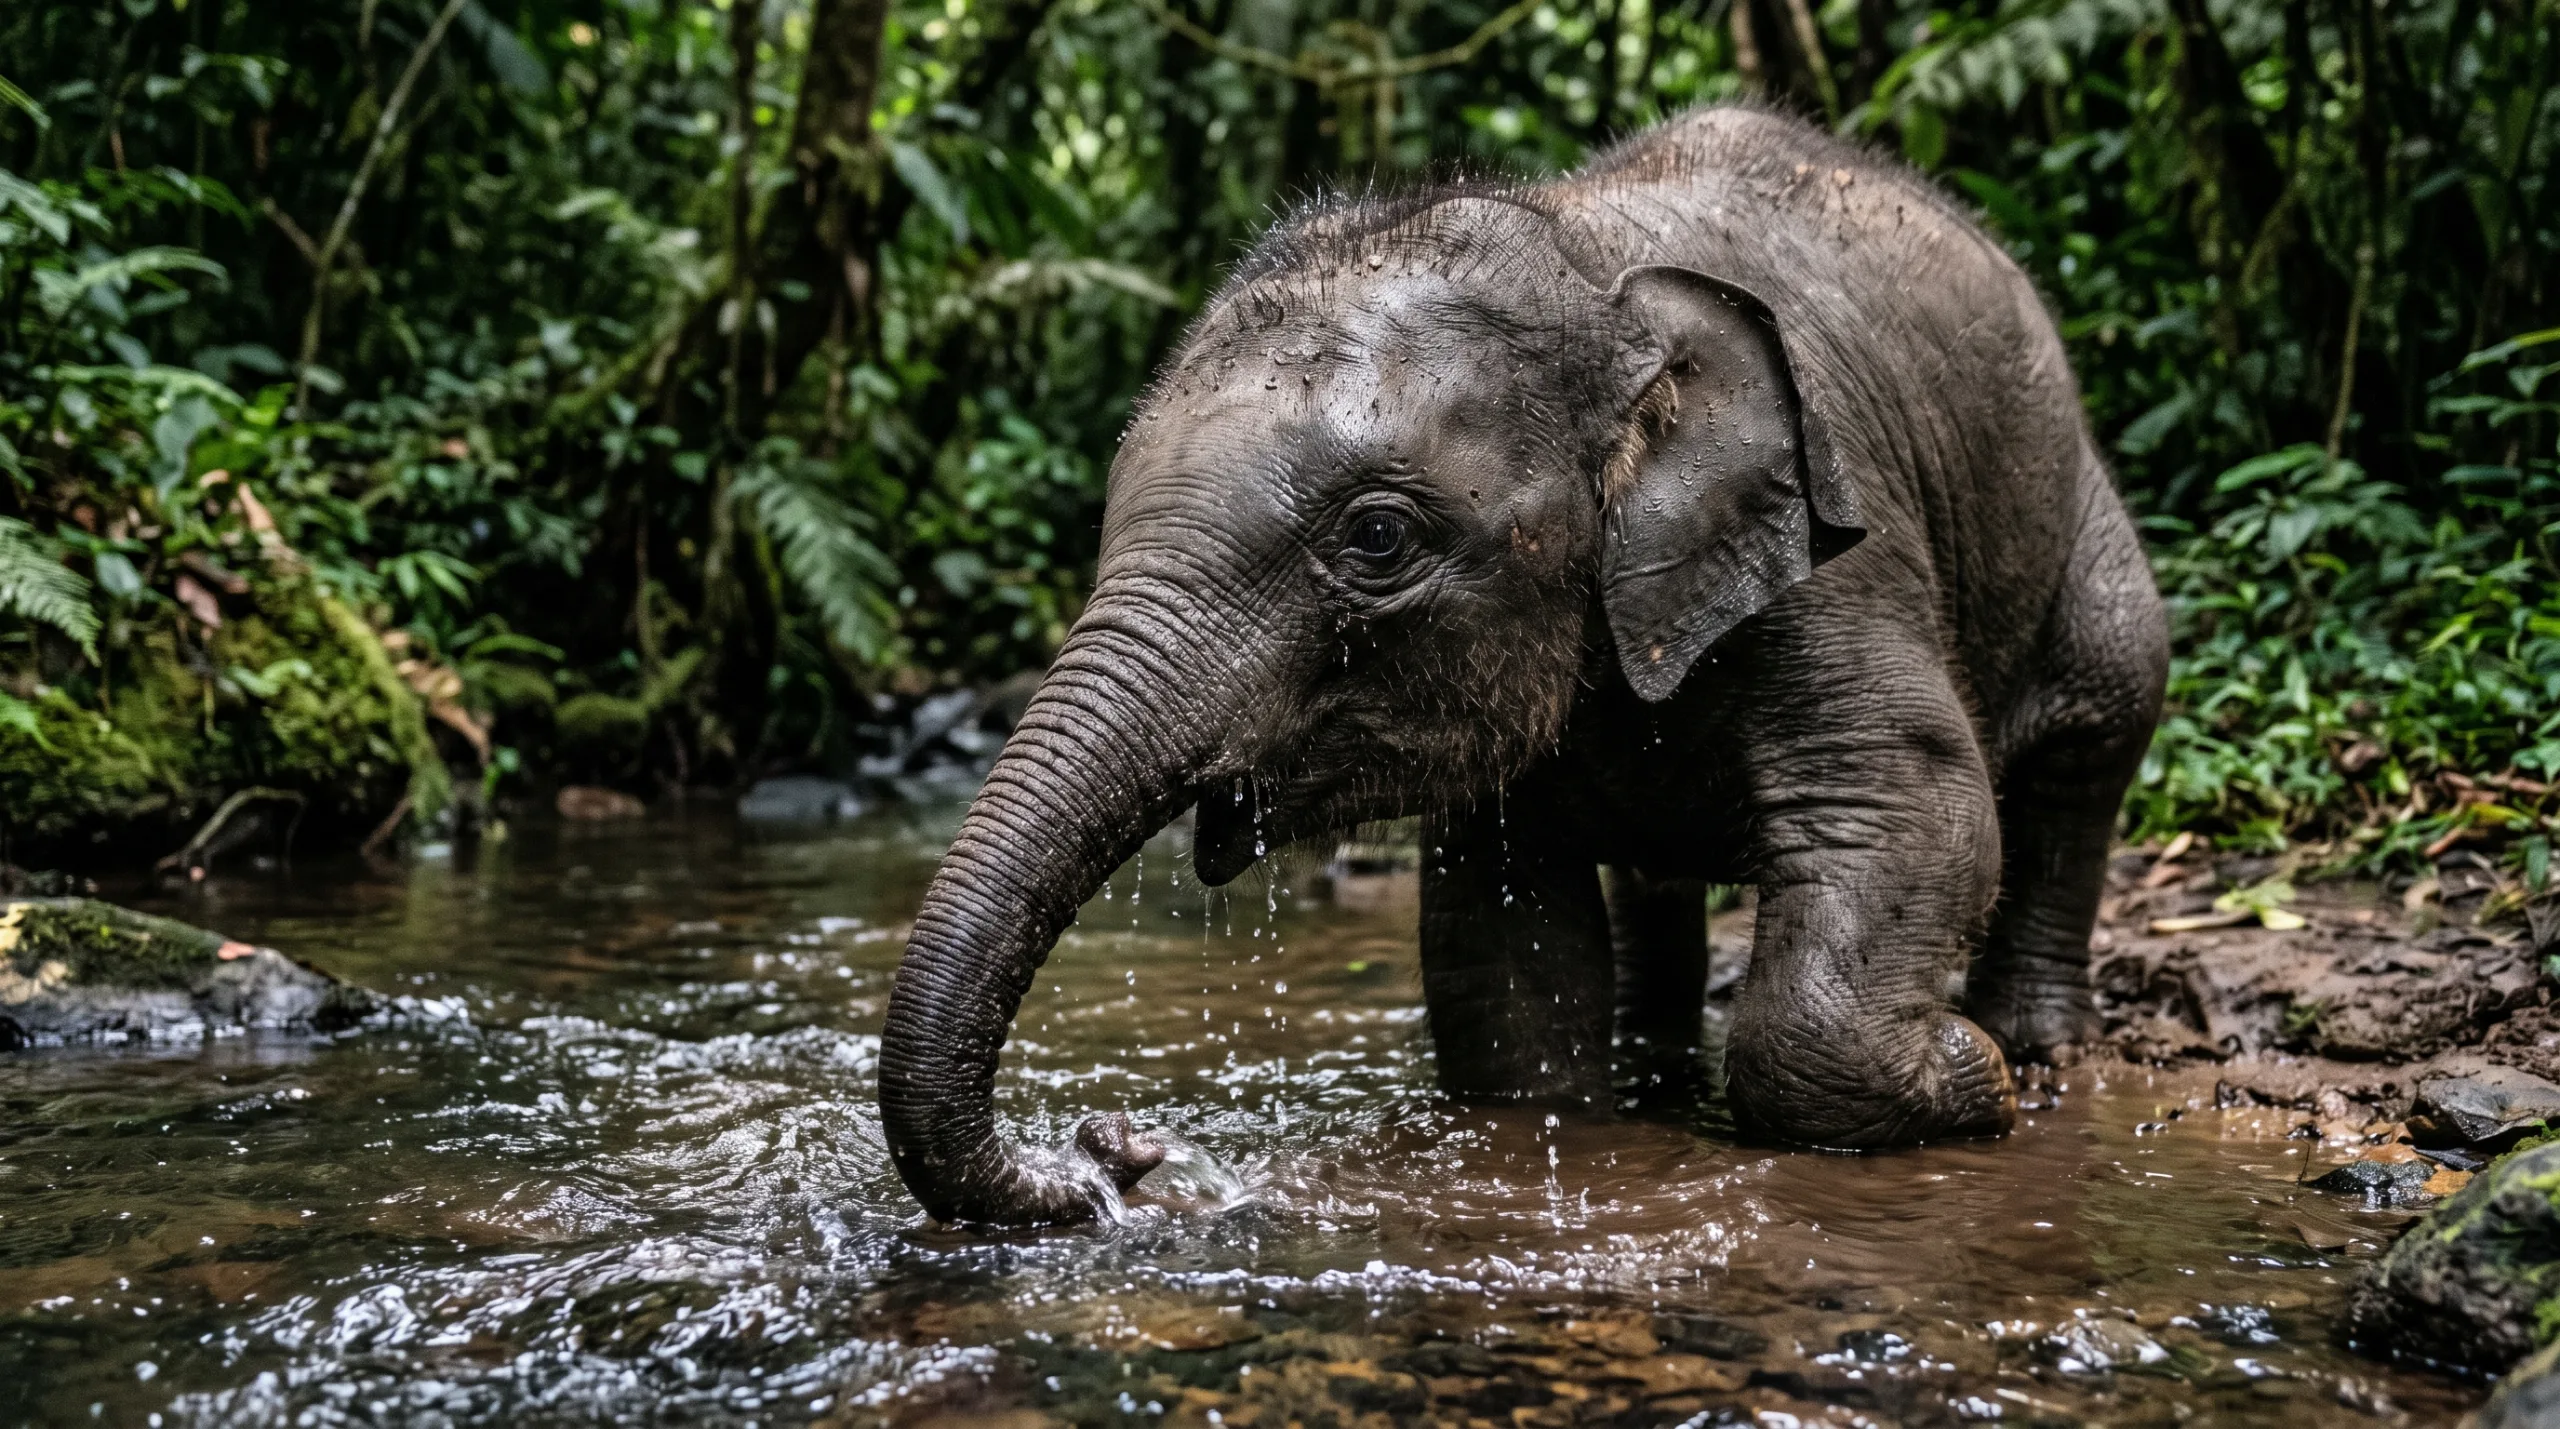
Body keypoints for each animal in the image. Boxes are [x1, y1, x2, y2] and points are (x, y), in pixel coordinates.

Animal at [878, 103, 2169, 1226]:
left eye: (1378, 536)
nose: (1114, 1148)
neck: (1582, 264)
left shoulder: (1836, 556)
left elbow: (1916, 808)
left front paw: (1973, 1075)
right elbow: (1497, 954)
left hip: (2077, 521)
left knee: (2096, 728)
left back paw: (2037, 1051)